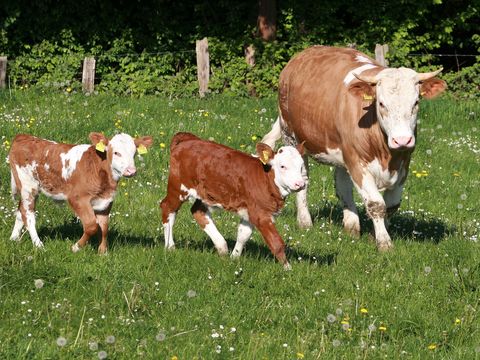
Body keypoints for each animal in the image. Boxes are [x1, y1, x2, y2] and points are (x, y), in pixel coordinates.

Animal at [8, 132, 153, 253]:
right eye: (117, 153)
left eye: (134, 153)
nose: (131, 171)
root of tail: (22, 136)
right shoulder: (77, 198)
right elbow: (91, 226)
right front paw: (76, 247)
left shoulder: (106, 201)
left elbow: (104, 226)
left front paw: (103, 252)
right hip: (28, 186)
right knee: (28, 214)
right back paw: (39, 245)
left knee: (20, 210)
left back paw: (13, 238)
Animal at [159, 131, 306, 268]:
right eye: (282, 166)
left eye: (301, 166)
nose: (300, 184)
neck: (266, 179)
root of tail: (189, 139)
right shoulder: (261, 214)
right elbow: (276, 242)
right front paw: (288, 269)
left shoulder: (249, 211)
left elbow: (243, 235)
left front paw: (234, 258)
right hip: (178, 188)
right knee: (168, 209)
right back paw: (170, 247)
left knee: (197, 211)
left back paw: (222, 247)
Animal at [262, 45, 446, 250]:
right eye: (381, 103)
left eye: (416, 103)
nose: (402, 140)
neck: (386, 154)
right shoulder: (358, 162)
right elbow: (376, 204)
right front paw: (384, 243)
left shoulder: (404, 163)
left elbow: (391, 205)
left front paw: (376, 235)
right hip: (291, 136)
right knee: (303, 181)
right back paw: (305, 222)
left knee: (342, 185)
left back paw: (351, 226)